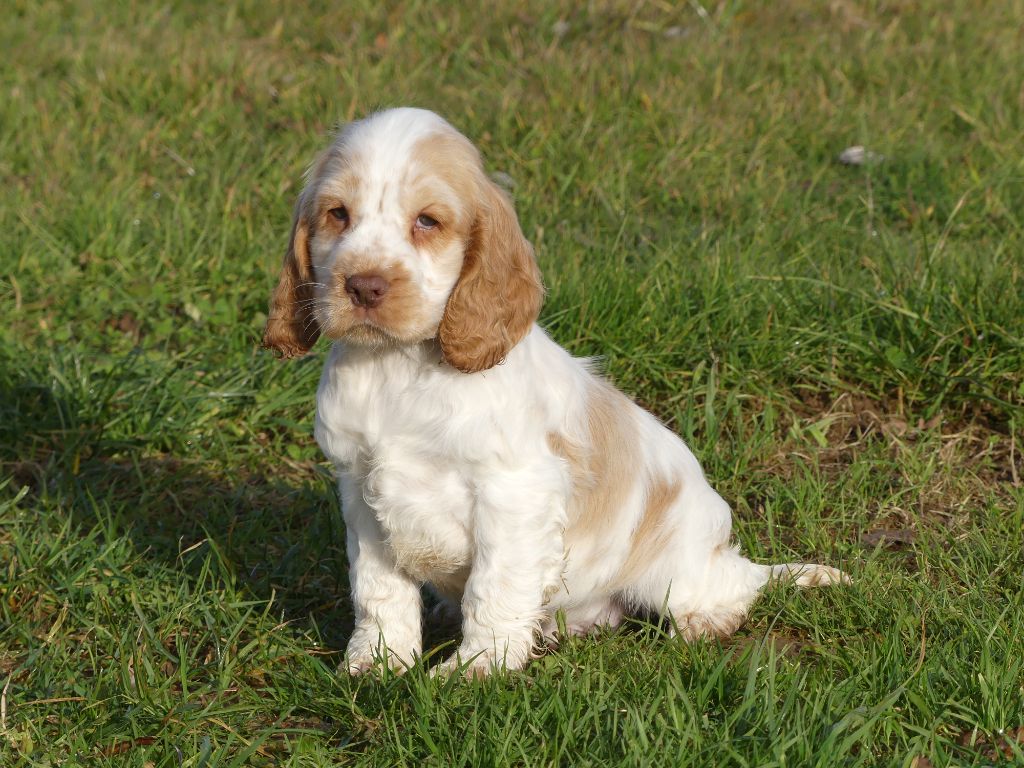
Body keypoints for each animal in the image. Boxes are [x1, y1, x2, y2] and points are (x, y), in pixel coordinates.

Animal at [264, 109, 847, 679]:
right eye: (338, 214)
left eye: (427, 221)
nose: (363, 286)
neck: (398, 367)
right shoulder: (360, 489)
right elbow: (378, 587)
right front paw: (378, 660)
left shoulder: (513, 492)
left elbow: (493, 587)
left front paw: (478, 668)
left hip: (676, 565)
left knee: (733, 587)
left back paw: (709, 621)